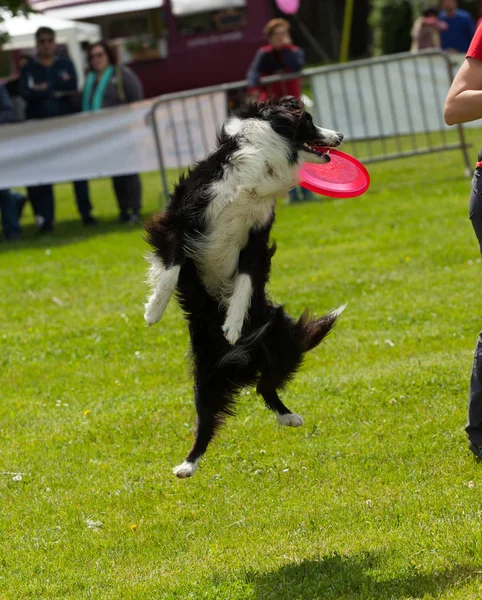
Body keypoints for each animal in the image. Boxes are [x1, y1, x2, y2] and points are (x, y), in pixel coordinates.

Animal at [145, 96, 344, 478]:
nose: (340, 135)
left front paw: (234, 326)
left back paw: (289, 417)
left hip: (279, 344)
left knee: (265, 387)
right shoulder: (181, 219)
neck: (261, 160)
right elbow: (171, 269)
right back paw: (187, 465)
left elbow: (243, 286)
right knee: (206, 420)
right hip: (205, 375)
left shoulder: (256, 241)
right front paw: (153, 310)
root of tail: (242, 363)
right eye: (308, 121)